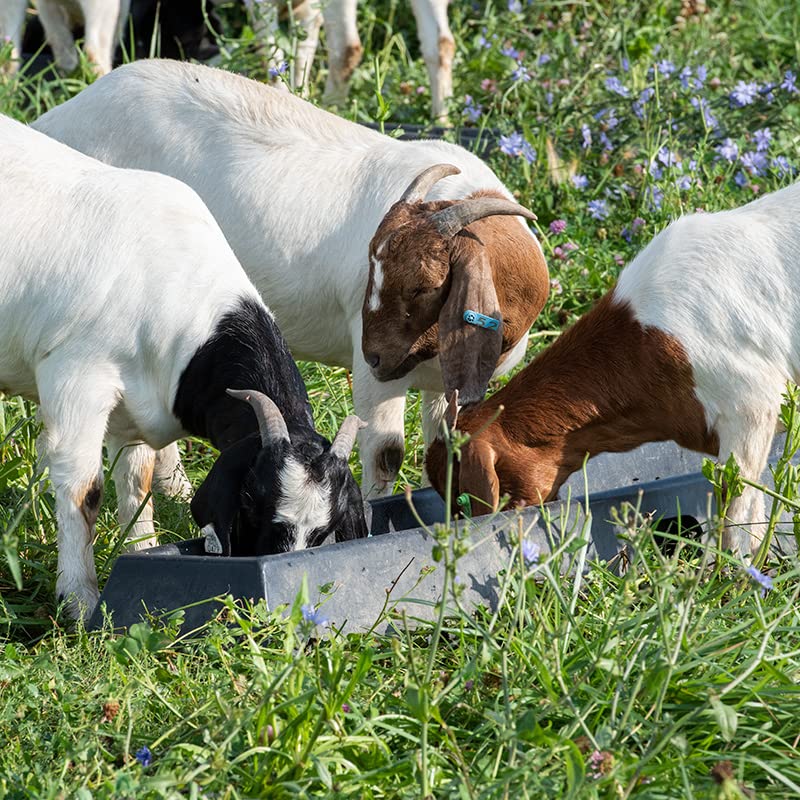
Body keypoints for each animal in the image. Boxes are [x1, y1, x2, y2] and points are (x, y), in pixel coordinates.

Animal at [0, 114, 367, 620]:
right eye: (250, 498)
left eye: (324, 530)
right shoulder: (76, 378)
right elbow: (83, 489)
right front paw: (79, 601)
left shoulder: (133, 407)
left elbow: (137, 482)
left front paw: (140, 549)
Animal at [33, 58, 549, 502]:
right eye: (373, 265)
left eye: (423, 286)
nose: (376, 355)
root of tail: (57, 116)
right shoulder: (375, 377)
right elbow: (386, 453)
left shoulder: (443, 383)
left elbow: (444, 446)